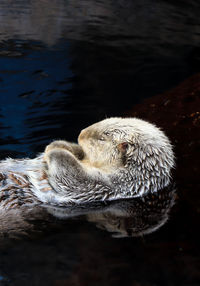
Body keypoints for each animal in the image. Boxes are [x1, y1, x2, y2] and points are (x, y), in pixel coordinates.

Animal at [0, 117, 174, 209]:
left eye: (102, 138)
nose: (80, 133)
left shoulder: (108, 187)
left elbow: (73, 179)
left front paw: (55, 151)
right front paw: (56, 145)